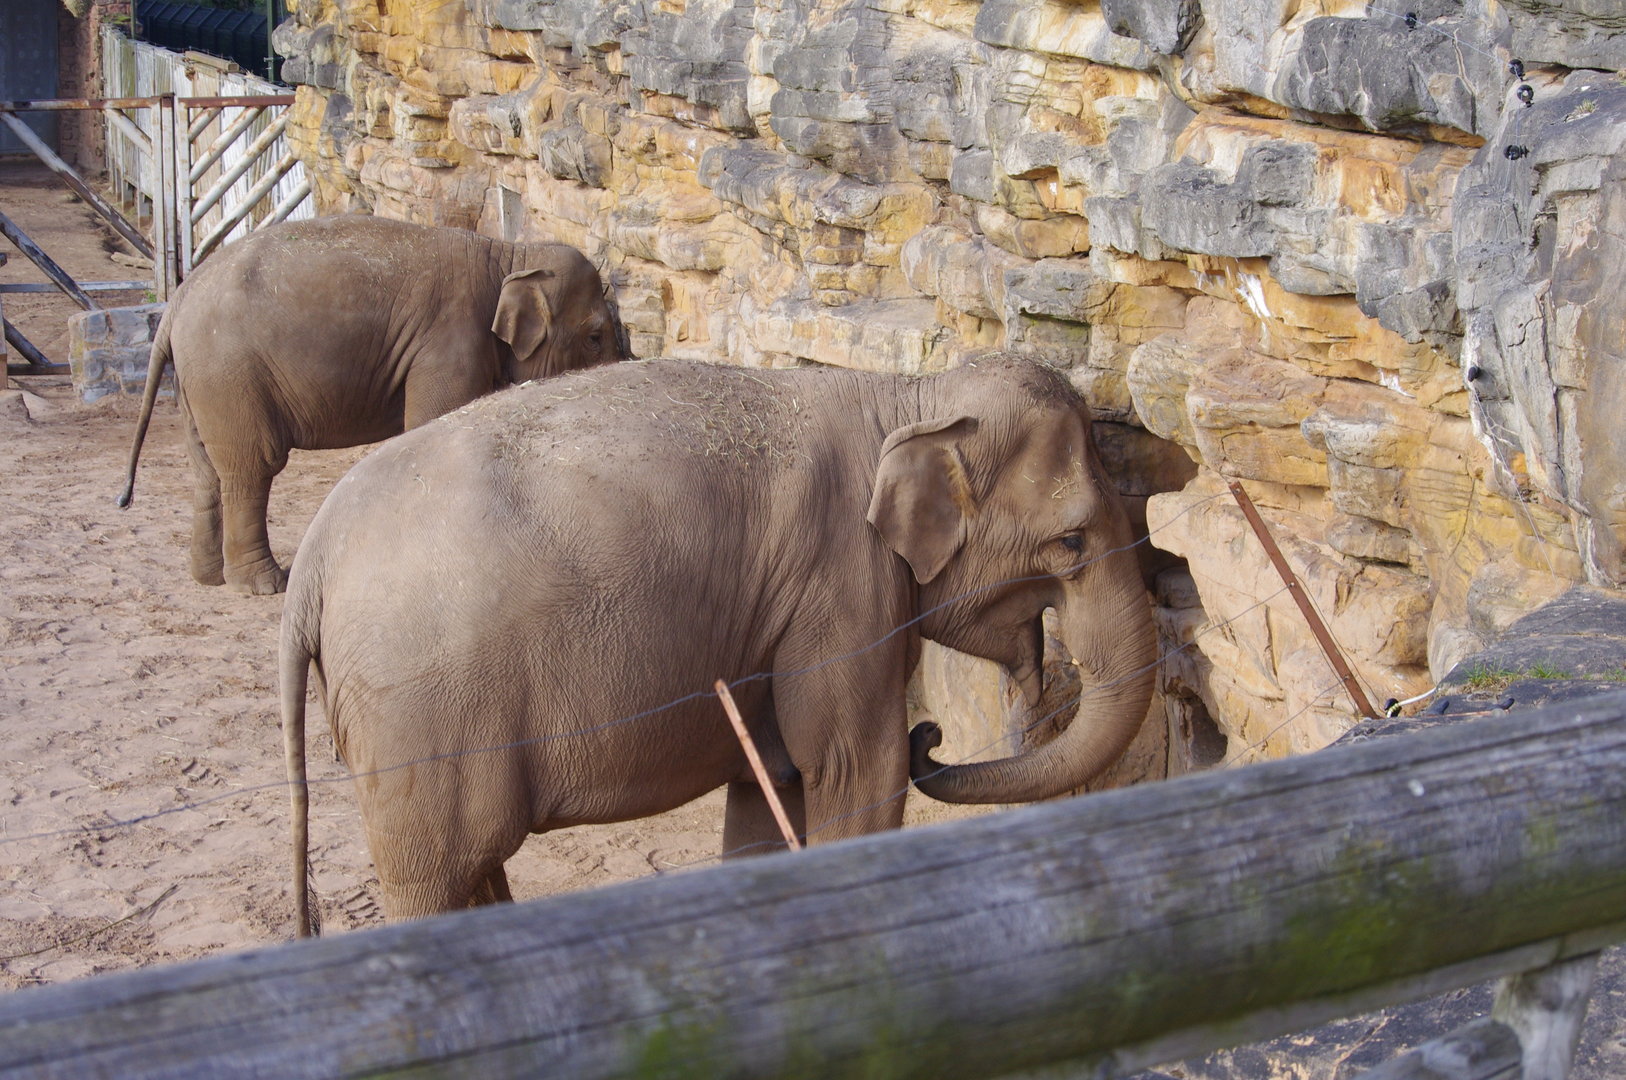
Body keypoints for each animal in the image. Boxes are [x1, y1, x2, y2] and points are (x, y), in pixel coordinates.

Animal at [117, 214, 625, 595]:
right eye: (595, 336)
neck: (510, 254)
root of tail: (176, 302)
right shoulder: (449, 339)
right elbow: (431, 421)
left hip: (198, 381)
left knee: (206, 469)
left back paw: (208, 578)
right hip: (229, 373)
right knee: (252, 466)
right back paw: (264, 585)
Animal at [279, 353, 1157, 931]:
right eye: (1073, 542)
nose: (933, 736)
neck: (906, 395)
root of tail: (311, 564)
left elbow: (775, 786)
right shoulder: (841, 591)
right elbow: (852, 767)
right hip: (418, 712)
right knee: (433, 874)